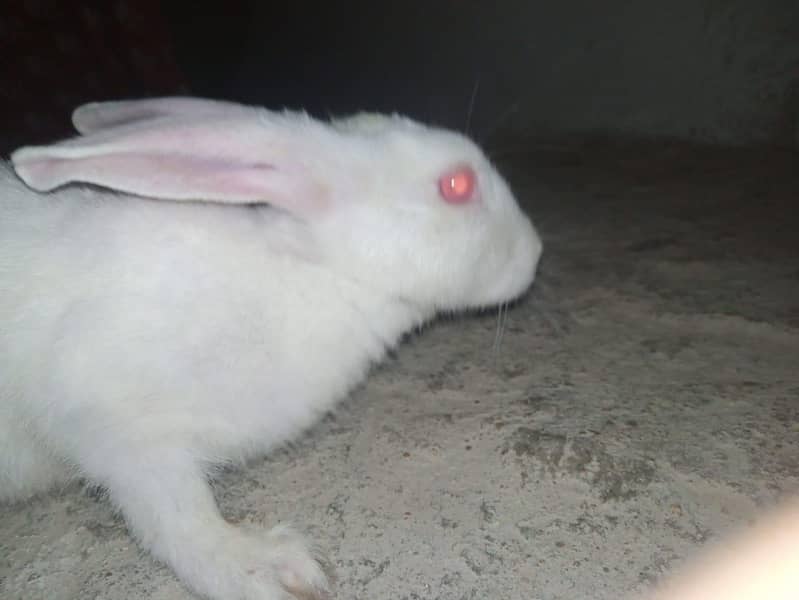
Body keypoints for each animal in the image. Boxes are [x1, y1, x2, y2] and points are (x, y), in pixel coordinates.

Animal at [0, 96, 542, 600]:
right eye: (457, 186)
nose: (536, 252)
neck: (317, 273)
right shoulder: (113, 422)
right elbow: (175, 515)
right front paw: (265, 568)